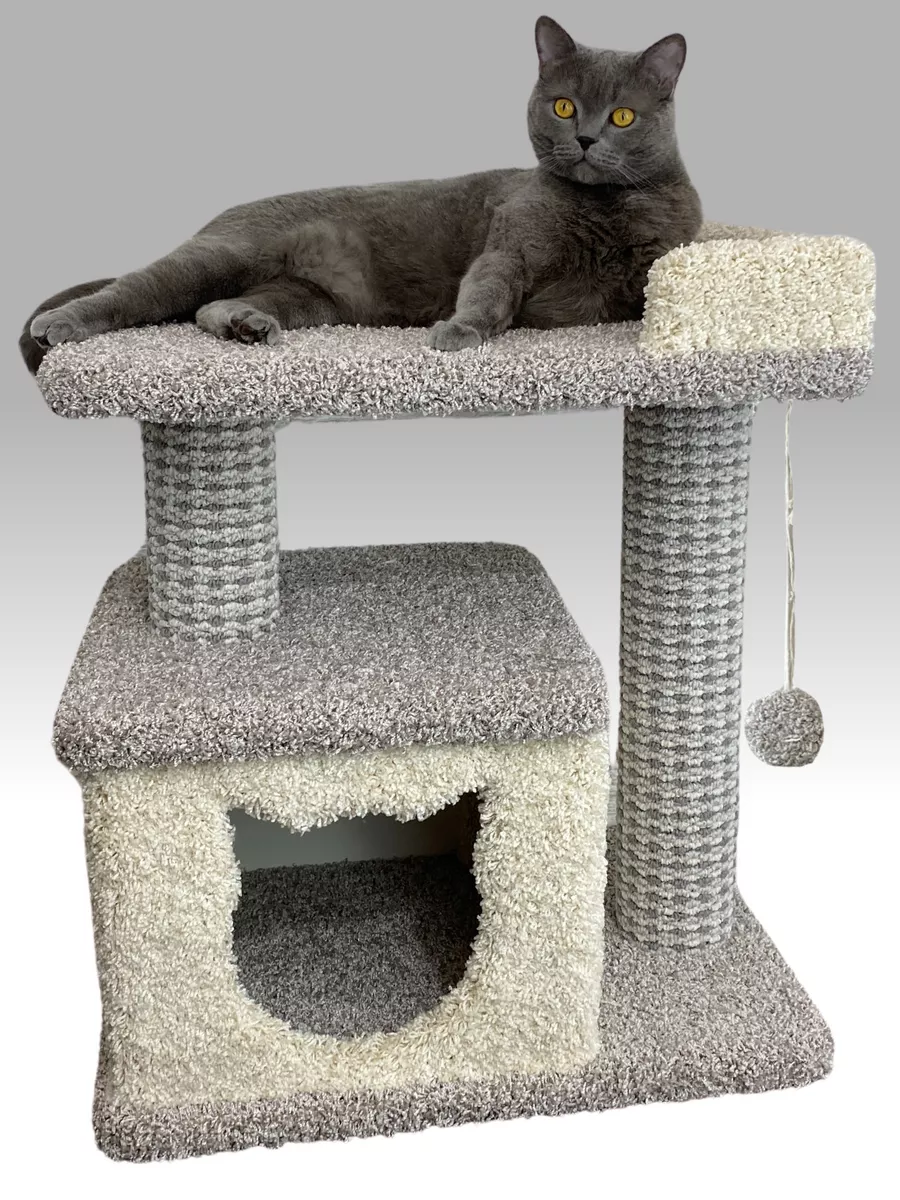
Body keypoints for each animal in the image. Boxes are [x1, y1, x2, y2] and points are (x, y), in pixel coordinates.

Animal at [20, 16, 701, 373]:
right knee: (139, 287)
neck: (604, 208)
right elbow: (490, 288)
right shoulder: (509, 245)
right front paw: (460, 331)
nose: (585, 138)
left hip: (309, 298)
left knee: (207, 307)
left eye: (622, 116)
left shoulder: (657, 259)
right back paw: (58, 323)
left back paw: (246, 325)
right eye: (563, 106)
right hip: (225, 252)